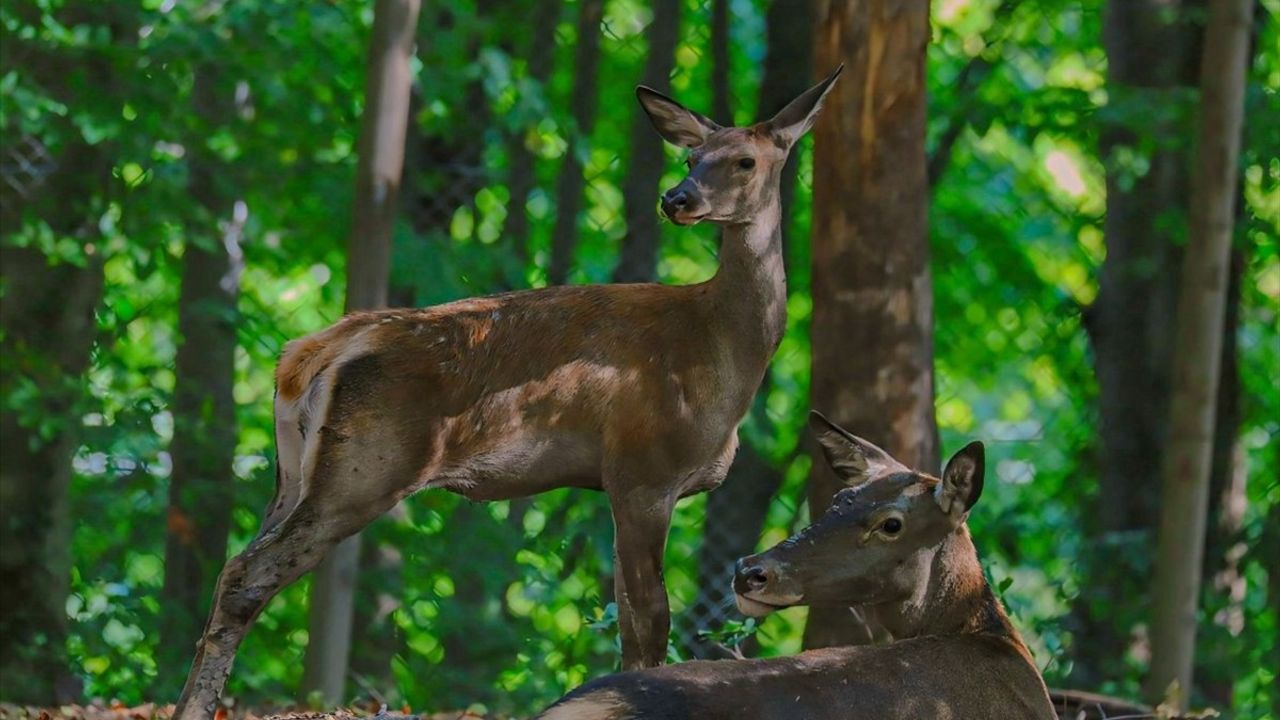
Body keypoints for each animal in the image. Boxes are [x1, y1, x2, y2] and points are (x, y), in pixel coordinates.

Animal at [172, 68, 849, 717]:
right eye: (691, 156)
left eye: (745, 161)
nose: (676, 198)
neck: (717, 349)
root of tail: (310, 353)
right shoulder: (643, 469)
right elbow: (651, 620)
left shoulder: (624, 484)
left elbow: (627, 617)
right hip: (365, 466)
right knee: (247, 574)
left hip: (292, 474)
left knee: (233, 565)